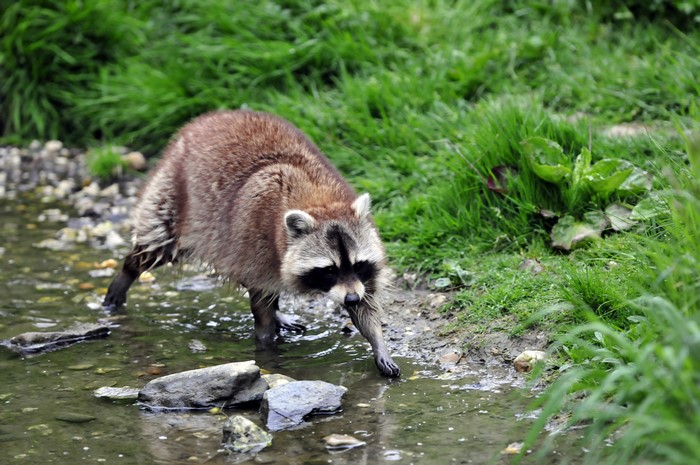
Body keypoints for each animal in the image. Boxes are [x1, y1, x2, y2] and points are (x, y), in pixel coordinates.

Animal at [103, 110, 400, 377]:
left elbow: (366, 304)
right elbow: (260, 307)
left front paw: (377, 340)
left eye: (359, 264)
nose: (350, 298)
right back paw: (128, 270)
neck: (319, 201)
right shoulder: (255, 236)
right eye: (328, 270)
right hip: (173, 192)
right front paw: (267, 351)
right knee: (156, 240)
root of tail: (209, 118)